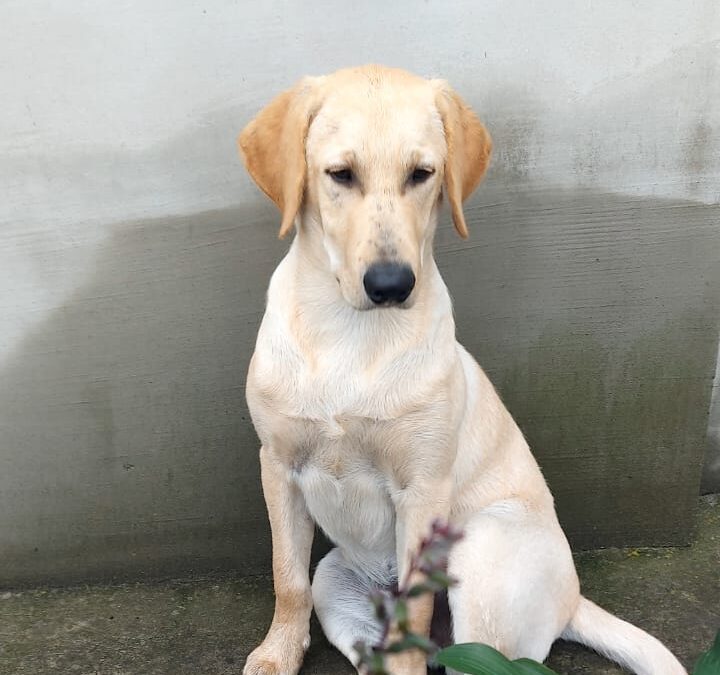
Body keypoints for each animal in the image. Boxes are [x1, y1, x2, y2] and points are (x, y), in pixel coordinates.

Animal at [238, 64, 688, 675]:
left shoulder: (422, 489)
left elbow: (414, 605)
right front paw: (278, 653)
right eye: (340, 174)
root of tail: (573, 599)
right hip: (338, 583)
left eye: (421, 174)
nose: (390, 284)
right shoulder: (278, 467)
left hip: (478, 553)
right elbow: (288, 581)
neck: (348, 334)